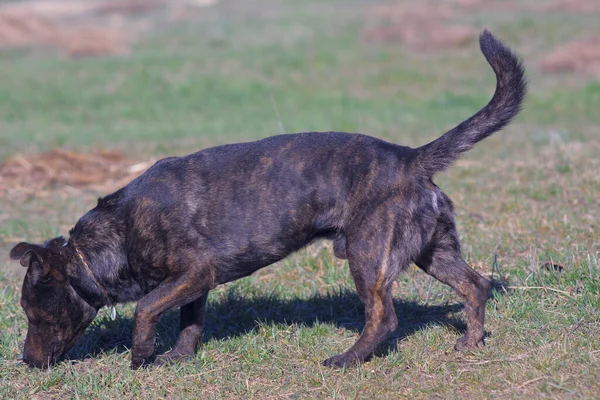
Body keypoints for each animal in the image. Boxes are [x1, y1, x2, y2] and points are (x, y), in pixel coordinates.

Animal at [8, 30, 524, 368]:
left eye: (34, 313)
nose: (27, 361)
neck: (114, 237)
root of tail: (411, 157)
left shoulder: (193, 272)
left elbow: (146, 308)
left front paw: (140, 357)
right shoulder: (196, 283)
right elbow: (189, 322)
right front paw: (178, 357)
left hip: (368, 255)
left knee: (384, 317)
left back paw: (348, 359)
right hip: (433, 252)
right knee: (475, 286)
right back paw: (471, 344)